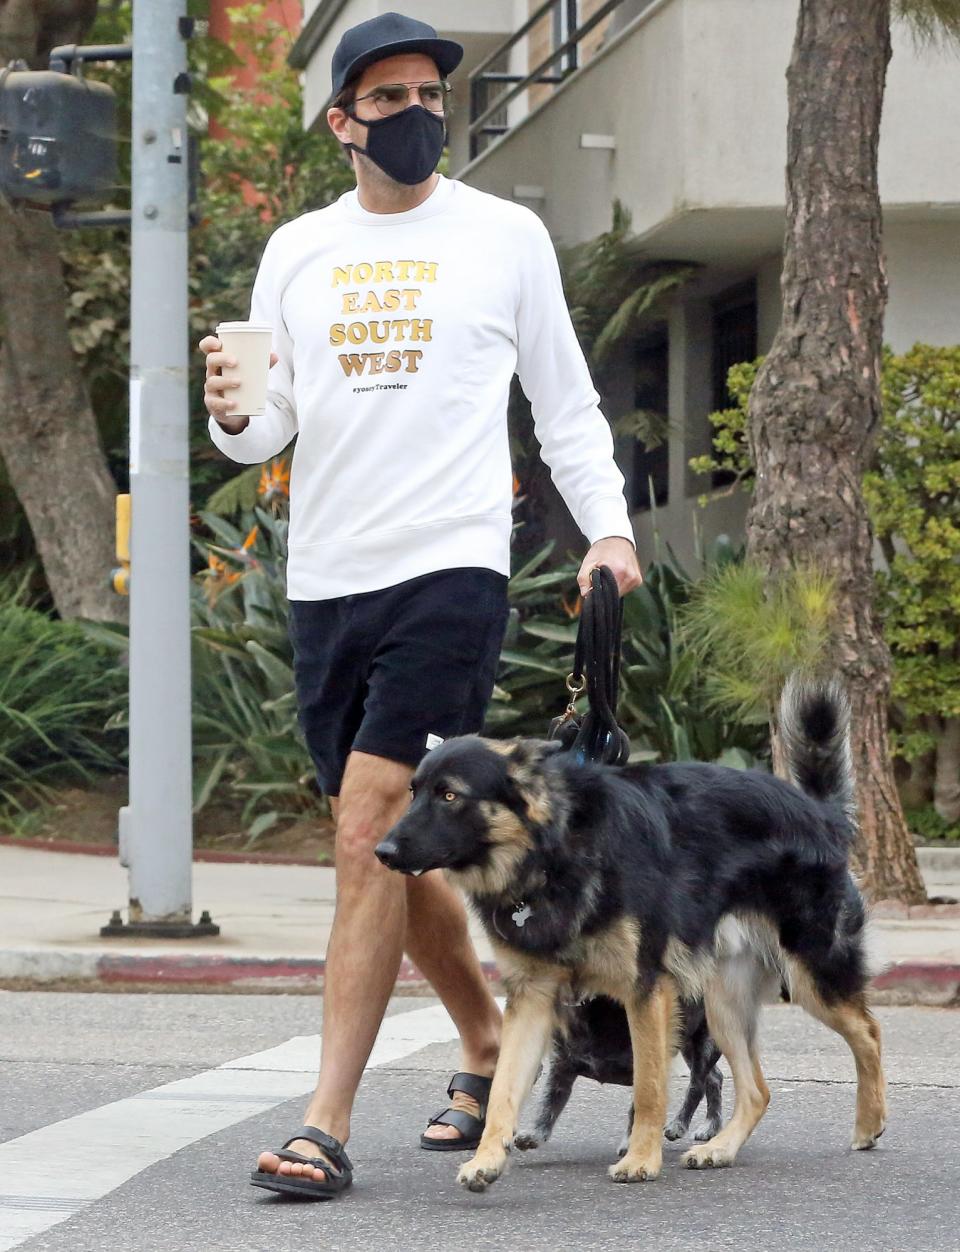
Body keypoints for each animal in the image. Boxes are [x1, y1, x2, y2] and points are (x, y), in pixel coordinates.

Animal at [375, 681, 886, 1186]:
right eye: (413, 792)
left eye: (449, 796)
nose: (382, 852)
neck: (551, 851)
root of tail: (819, 812)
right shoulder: (532, 999)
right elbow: (504, 1087)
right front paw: (487, 1158)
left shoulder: (645, 990)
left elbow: (648, 1086)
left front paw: (640, 1158)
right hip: (723, 1002)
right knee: (758, 1089)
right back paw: (720, 1149)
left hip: (811, 977)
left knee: (868, 1032)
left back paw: (869, 1123)